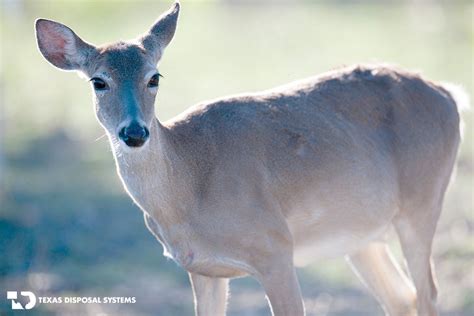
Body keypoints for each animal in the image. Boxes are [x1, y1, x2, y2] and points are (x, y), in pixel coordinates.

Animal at [34, 2, 466, 316]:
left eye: (154, 77)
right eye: (98, 81)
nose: (135, 132)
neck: (190, 187)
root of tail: (449, 94)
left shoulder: (276, 247)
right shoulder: (202, 270)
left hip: (423, 200)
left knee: (428, 293)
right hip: (360, 234)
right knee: (402, 297)